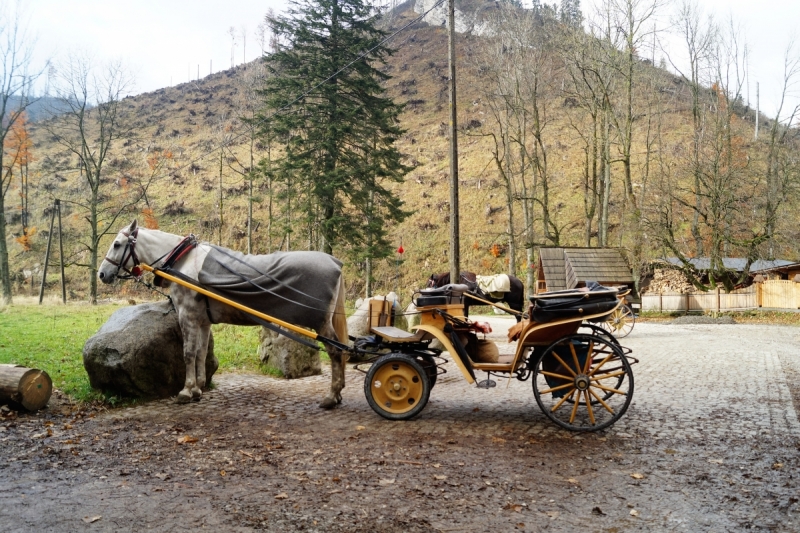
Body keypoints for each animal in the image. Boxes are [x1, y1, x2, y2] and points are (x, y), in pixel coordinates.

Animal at [98, 218, 348, 406]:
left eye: (117, 244)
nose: (102, 274)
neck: (183, 261)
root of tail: (336, 263)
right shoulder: (202, 321)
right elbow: (200, 353)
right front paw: (198, 388)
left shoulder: (187, 316)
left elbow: (188, 353)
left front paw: (186, 390)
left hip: (322, 324)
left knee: (336, 352)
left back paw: (332, 395)